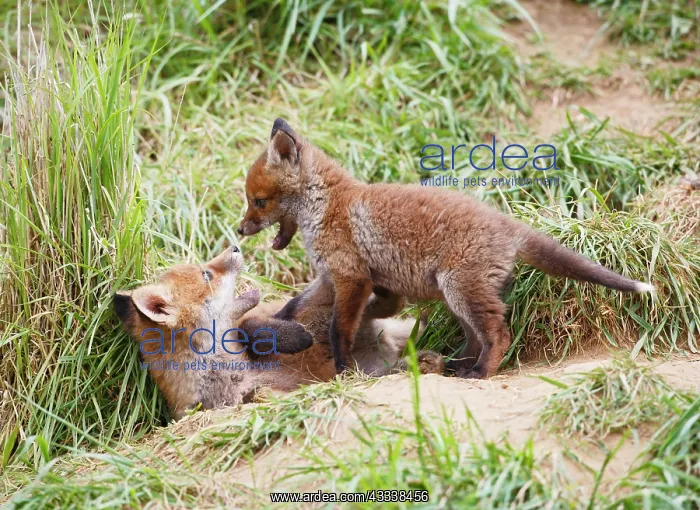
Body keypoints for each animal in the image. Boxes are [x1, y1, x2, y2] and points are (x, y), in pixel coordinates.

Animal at [114, 246, 443, 419]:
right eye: (206, 275)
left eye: (204, 267)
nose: (235, 246)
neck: (236, 374)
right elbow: (261, 393)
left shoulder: (286, 315)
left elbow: (251, 326)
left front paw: (293, 337)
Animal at [236, 118, 655, 380]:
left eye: (258, 201)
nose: (239, 230)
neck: (326, 206)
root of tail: (508, 224)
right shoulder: (339, 278)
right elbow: (300, 306)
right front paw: (284, 322)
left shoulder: (351, 277)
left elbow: (340, 328)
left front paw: (342, 367)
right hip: (457, 296)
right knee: (476, 338)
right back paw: (455, 365)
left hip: (461, 289)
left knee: (498, 334)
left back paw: (480, 373)